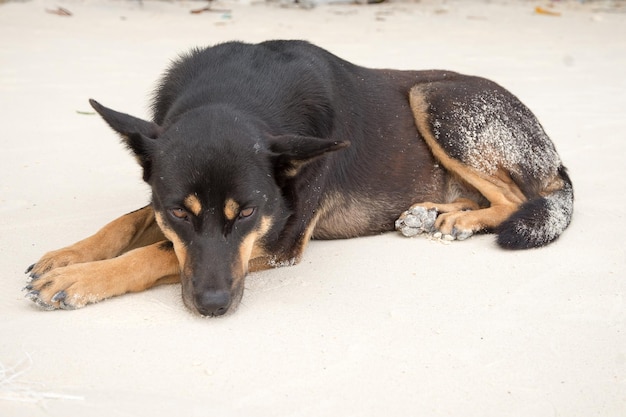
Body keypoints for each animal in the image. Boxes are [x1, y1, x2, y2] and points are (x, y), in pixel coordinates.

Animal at [23, 41, 572, 316]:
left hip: (434, 96)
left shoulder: (278, 237)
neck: (236, 91)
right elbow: (131, 221)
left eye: (247, 212)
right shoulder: (164, 192)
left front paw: (79, 279)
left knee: (517, 198)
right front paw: (70, 255)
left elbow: (155, 251)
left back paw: (459, 220)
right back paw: (431, 212)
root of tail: (552, 151)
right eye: (180, 210)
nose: (214, 307)